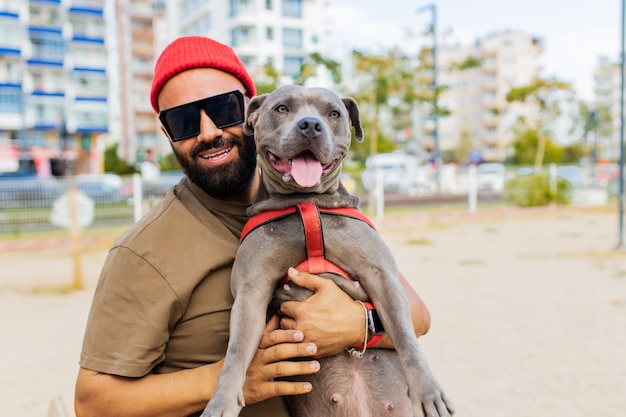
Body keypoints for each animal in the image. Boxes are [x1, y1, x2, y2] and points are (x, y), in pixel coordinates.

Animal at [202, 84, 450, 416]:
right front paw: (222, 399)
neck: (305, 202)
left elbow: (406, 336)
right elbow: (236, 350)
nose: (310, 125)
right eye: (282, 108)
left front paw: (427, 389)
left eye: (333, 113)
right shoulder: (251, 290)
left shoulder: (382, 275)